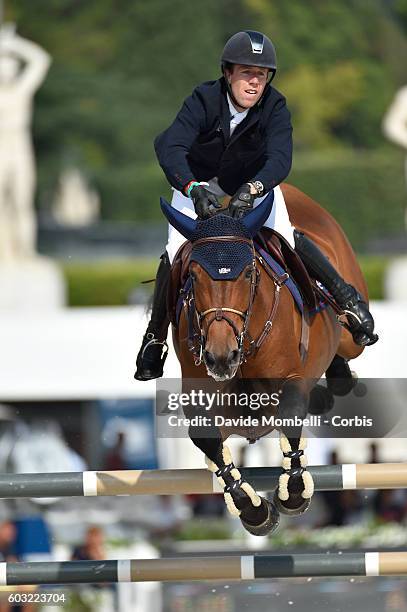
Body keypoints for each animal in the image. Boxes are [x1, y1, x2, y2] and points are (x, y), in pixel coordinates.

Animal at [161, 184, 368, 536]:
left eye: (248, 273)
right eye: (193, 275)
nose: (220, 357)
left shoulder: (291, 378)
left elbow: (290, 411)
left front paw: (293, 493)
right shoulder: (201, 394)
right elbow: (205, 436)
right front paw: (253, 510)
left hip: (352, 338)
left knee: (349, 340)